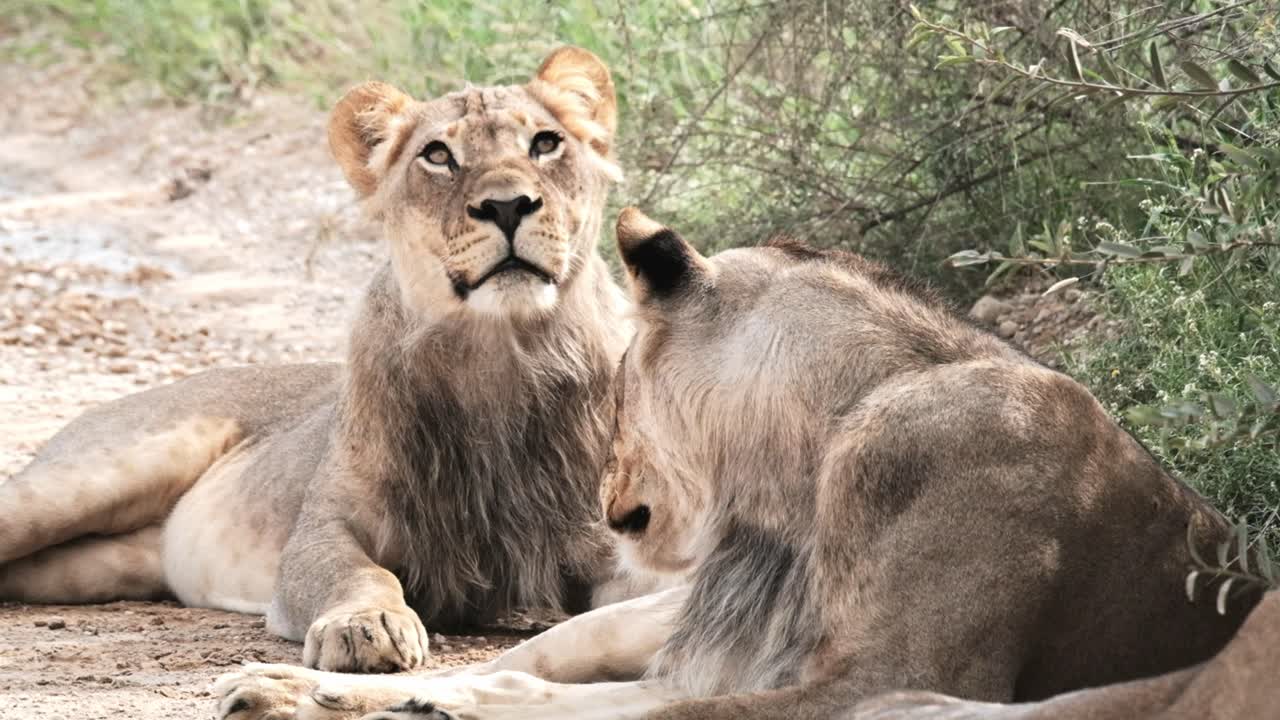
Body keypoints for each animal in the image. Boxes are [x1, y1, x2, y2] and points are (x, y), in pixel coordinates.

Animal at [0, 47, 650, 674]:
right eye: (438, 155)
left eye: (545, 142)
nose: (509, 205)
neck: (500, 353)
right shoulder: (323, 529)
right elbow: (359, 573)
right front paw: (365, 626)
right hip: (94, 476)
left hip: (98, 563)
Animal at [212, 207, 1263, 719]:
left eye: (617, 387)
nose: (605, 504)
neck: (818, 454)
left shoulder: (895, 677)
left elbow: (659, 716)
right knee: (529, 659)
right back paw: (287, 689)